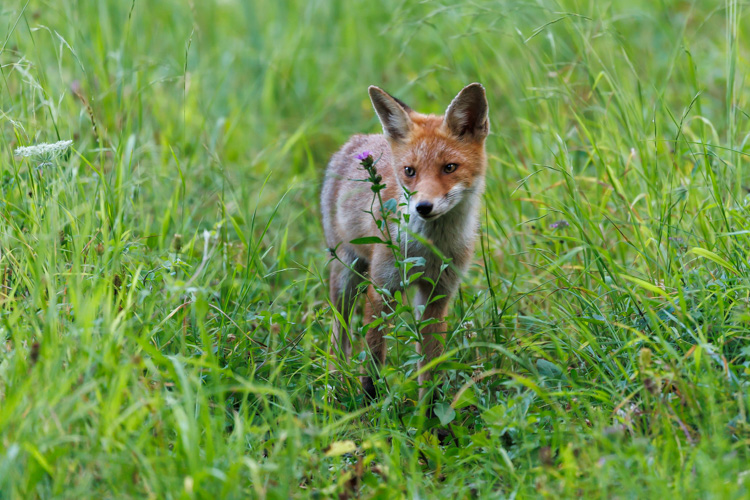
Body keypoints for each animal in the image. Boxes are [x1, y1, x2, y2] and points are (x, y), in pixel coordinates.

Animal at [324, 81, 494, 402]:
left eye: (449, 167)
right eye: (410, 171)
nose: (423, 207)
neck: (428, 249)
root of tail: (359, 140)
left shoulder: (438, 294)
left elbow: (430, 363)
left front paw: (430, 407)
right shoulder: (382, 288)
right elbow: (373, 355)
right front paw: (371, 402)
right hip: (346, 275)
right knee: (338, 334)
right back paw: (334, 382)